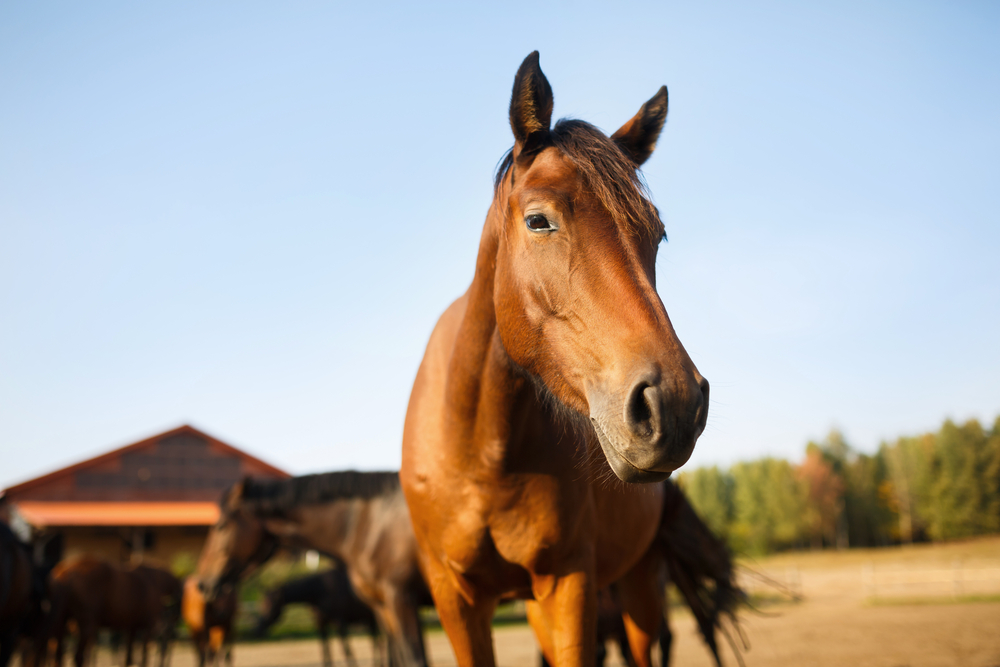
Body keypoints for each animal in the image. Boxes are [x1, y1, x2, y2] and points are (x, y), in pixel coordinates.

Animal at [254, 568, 382, 667]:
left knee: (377, 642)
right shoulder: (320, 624)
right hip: (370, 620)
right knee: (375, 641)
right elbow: (325, 649)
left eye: (271, 605)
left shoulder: (339, 622)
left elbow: (346, 649)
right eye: (261, 605)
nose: (257, 630)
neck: (319, 591)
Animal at [400, 52, 712, 667]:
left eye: (658, 234)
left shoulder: (568, 583)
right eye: (538, 220)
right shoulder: (455, 598)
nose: (674, 404)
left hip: (638, 587)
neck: (481, 452)